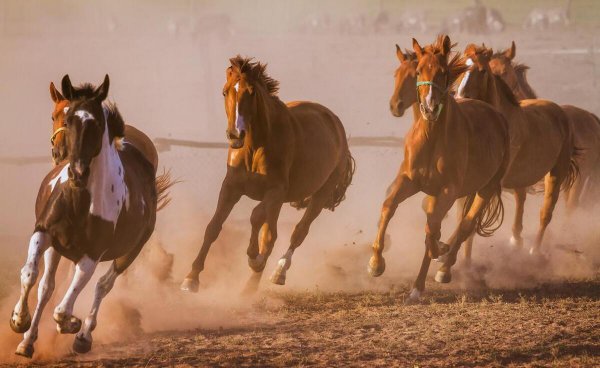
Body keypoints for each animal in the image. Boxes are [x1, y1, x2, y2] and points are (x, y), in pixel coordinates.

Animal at [9, 75, 169, 360]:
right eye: (64, 118)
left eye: (95, 123)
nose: (76, 170)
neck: (80, 200)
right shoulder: (44, 233)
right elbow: (30, 274)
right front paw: (19, 321)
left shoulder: (91, 256)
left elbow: (64, 307)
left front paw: (71, 323)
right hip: (58, 248)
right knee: (47, 287)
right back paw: (28, 341)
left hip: (129, 252)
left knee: (102, 286)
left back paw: (83, 336)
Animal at [180, 56, 354, 292]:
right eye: (225, 91)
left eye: (251, 92)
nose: (235, 134)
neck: (256, 146)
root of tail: (335, 123)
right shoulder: (231, 187)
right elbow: (213, 227)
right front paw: (191, 278)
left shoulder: (275, 192)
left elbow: (256, 219)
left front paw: (254, 258)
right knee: (270, 235)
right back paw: (249, 288)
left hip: (320, 194)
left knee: (298, 232)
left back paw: (277, 272)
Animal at [372, 36, 508, 304]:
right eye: (418, 71)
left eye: (443, 72)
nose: (430, 106)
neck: (431, 138)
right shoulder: (408, 181)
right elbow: (389, 207)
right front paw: (375, 263)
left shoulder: (447, 191)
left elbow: (432, 229)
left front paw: (439, 253)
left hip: (485, 188)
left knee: (465, 225)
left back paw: (439, 271)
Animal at [458, 43, 580, 256]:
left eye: (482, 70)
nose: (460, 97)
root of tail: (560, 112)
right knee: (522, 198)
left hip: (555, 173)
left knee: (545, 212)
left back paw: (534, 251)